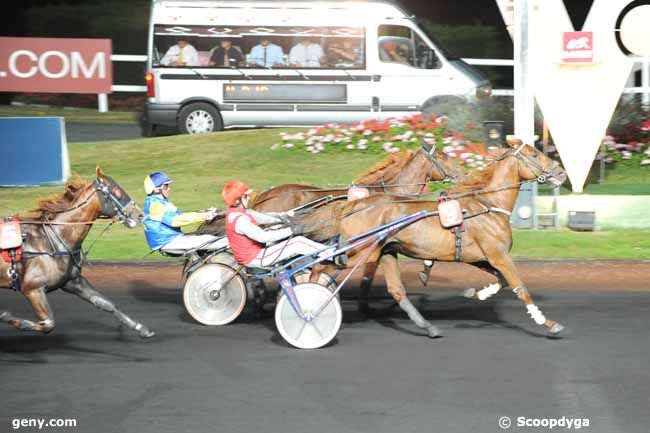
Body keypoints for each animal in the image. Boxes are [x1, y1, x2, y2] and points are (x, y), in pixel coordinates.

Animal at [0, 167, 156, 340]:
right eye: (116, 191)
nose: (140, 215)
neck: (53, 239)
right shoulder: (32, 289)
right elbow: (48, 324)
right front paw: (8, 317)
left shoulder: (73, 282)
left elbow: (106, 303)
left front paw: (141, 328)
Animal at [306, 138, 564, 338]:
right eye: (534, 153)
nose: (561, 172)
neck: (488, 205)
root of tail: (354, 205)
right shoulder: (499, 256)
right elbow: (520, 287)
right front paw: (547, 323)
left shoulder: (480, 258)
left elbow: (501, 281)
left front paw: (476, 293)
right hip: (358, 251)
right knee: (319, 266)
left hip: (384, 251)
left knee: (396, 289)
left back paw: (428, 327)